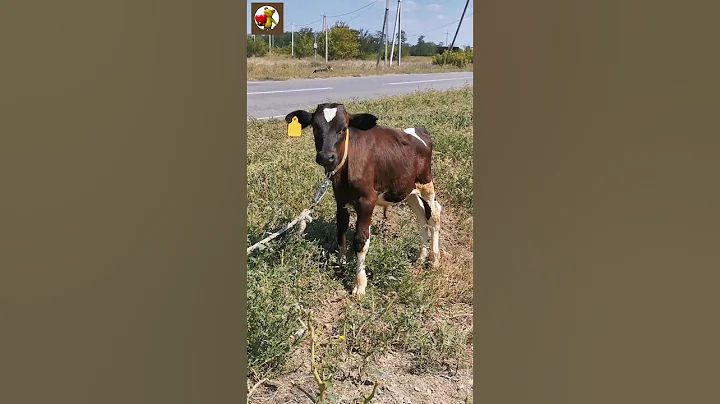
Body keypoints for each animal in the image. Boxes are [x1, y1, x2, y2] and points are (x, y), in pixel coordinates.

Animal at [285, 103, 442, 297]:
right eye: (315, 127)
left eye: (343, 128)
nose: (326, 156)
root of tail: (419, 130)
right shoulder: (340, 198)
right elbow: (341, 228)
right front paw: (341, 262)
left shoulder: (367, 200)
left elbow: (361, 240)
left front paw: (359, 284)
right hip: (408, 188)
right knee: (421, 217)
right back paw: (421, 256)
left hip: (426, 183)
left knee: (434, 216)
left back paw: (434, 260)